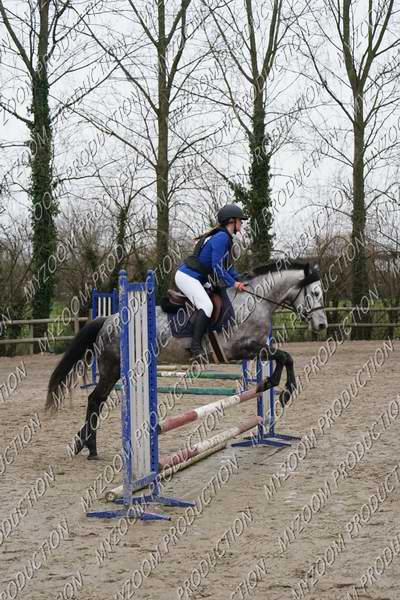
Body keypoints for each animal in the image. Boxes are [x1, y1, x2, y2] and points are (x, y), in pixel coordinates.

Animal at [46, 260, 327, 459]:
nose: (322, 325)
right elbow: (285, 356)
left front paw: (274, 384)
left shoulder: (254, 348)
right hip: (111, 369)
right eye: (315, 293)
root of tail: (108, 319)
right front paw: (286, 389)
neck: (254, 301)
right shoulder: (241, 349)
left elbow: (282, 356)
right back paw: (90, 447)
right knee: (95, 399)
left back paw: (82, 443)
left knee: (98, 400)